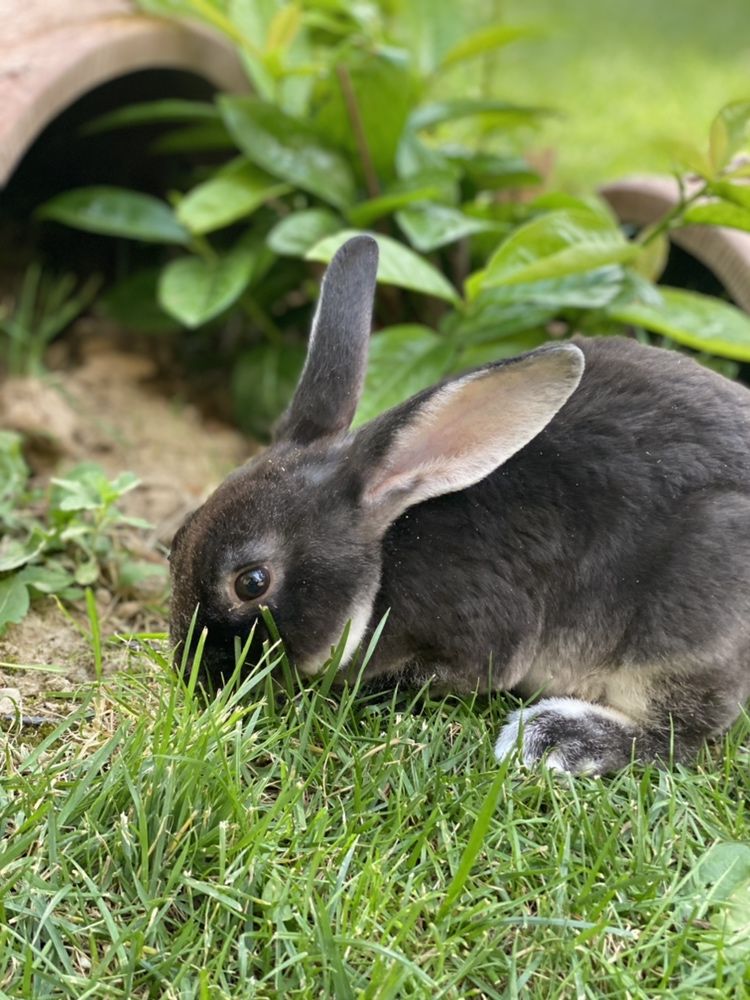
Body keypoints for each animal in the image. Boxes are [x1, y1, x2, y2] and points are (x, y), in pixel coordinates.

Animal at [169, 234, 750, 772]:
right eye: (177, 539)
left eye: (252, 583)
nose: (194, 675)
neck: (384, 560)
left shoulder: (481, 636)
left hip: (687, 622)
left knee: (680, 735)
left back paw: (553, 738)